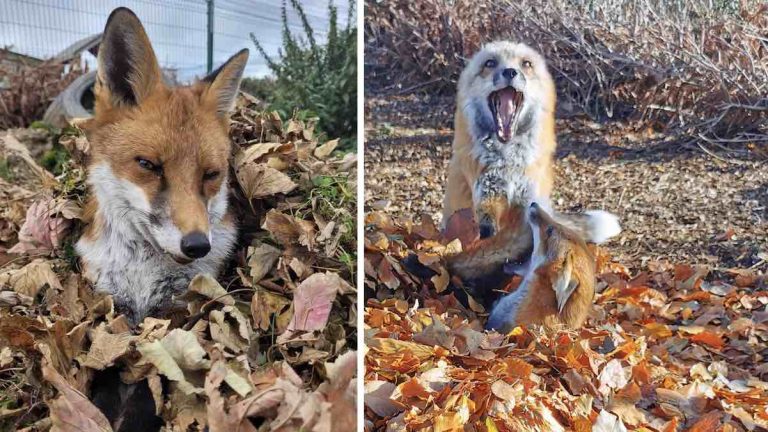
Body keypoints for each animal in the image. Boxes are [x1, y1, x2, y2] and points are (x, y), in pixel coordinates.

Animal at [76, 8, 248, 325]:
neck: (144, 275)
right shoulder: (109, 295)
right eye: (148, 164)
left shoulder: (180, 304)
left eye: (211, 174)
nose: (197, 245)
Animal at [442, 41, 619, 244]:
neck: (508, 163)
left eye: (526, 64)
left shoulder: (528, 199)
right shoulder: (486, 194)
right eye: (490, 63)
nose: (510, 72)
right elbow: (488, 227)